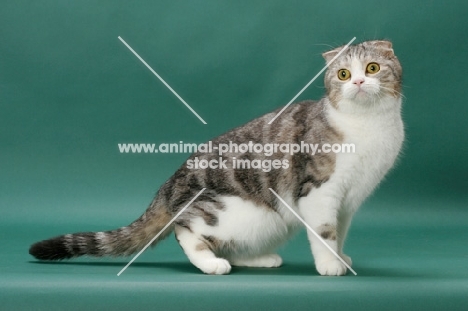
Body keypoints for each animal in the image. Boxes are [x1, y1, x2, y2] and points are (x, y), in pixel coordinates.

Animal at [29, 40, 404, 276]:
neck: (369, 126)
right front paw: (330, 265)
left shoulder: (349, 201)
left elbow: (339, 232)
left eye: (372, 68)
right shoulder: (320, 192)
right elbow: (325, 233)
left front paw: (341, 256)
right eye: (343, 74)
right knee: (187, 230)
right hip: (236, 211)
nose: (358, 82)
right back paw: (211, 264)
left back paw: (260, 259)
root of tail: (168, 185)